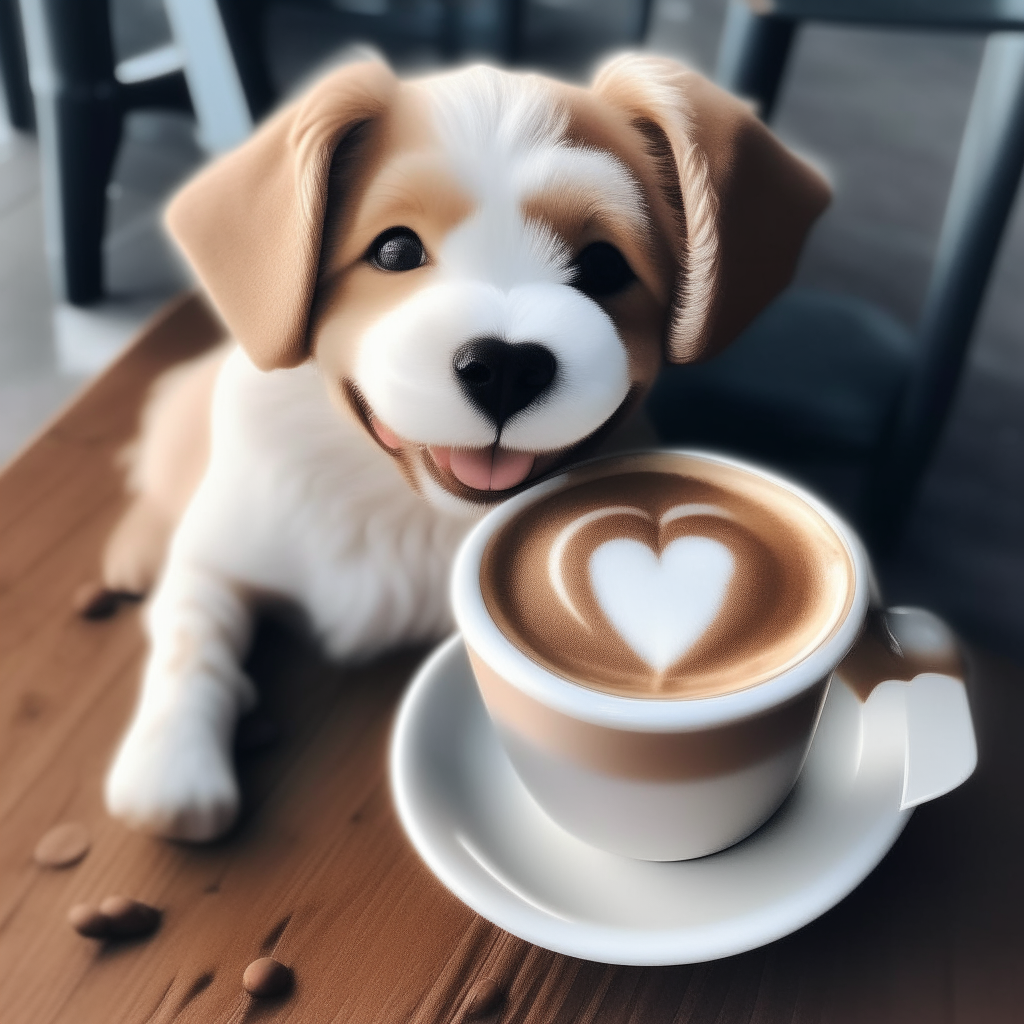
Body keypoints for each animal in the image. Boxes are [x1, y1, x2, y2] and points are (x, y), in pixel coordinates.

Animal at [99, 49, 827, 839]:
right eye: (394, 249)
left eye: (605, 266)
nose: (504, 366)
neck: (403, 505)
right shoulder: (226, 544)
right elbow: (189, 633)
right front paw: (172, 764)